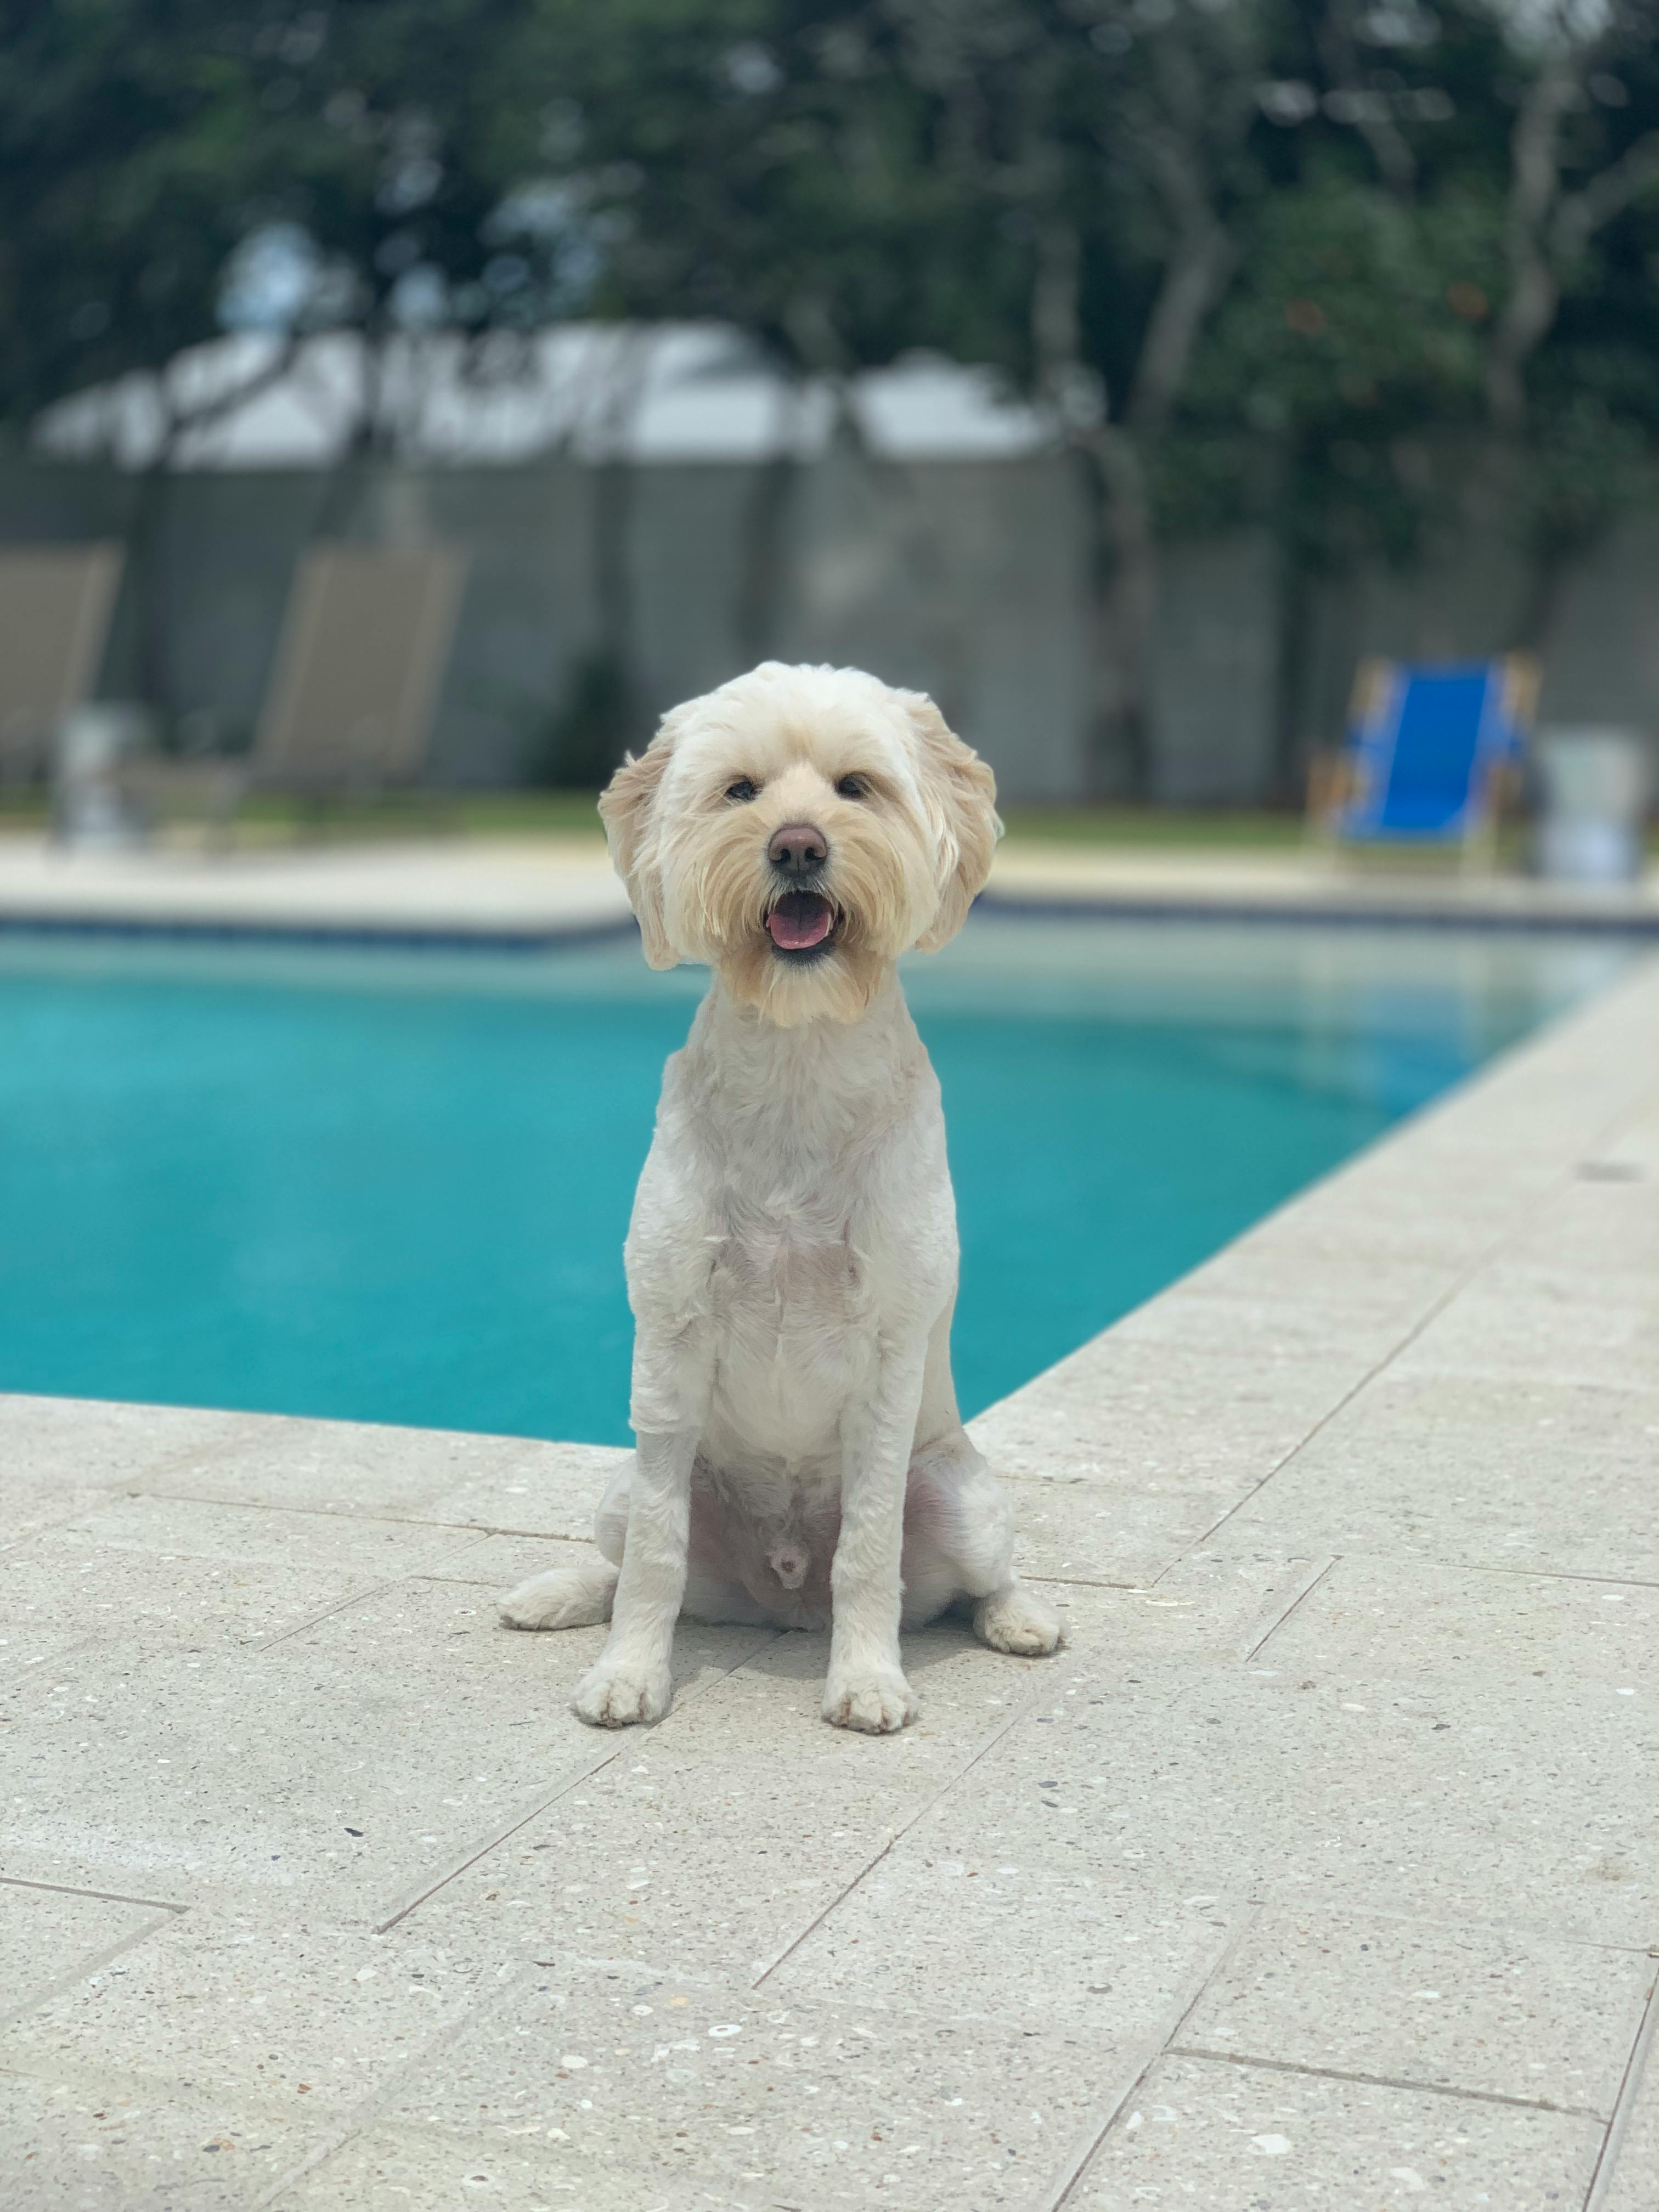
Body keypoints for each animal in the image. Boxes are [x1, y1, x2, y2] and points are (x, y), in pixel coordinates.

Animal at [500, 654, 1057, 1725]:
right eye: (739, 791)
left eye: (855, 787)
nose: (797, 845)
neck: (801, 1056)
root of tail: (783, 1601)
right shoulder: (669, 1338)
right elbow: (656, 1558)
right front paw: (630, 1673)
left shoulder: (887, 1353)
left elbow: (870, 1549)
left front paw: (869, 1678)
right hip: (625, 1483)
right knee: (624, 1556)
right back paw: (555, 1594)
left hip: (963, 1499)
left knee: (976, 1582)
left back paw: (1017, 1619)